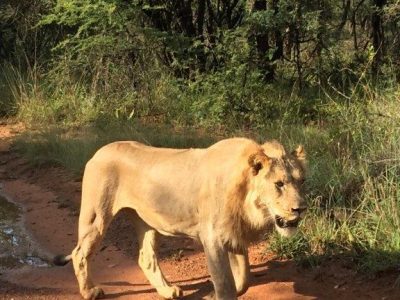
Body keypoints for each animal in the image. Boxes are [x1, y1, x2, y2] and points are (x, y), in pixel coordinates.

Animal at [54, 138, 306, 300]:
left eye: (301, 181)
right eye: (279, 184)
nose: (301, 208)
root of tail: (99, 151)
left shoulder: (235, 234)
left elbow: (243, 278)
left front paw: (214, 293)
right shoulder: (212, 237)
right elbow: (225, 283)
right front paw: (217, 293)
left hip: (146, 221)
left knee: (145, 257)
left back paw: (167, 291)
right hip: (96, 216)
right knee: (79, 253)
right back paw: (90, 292)